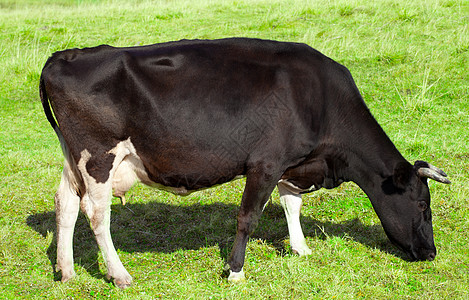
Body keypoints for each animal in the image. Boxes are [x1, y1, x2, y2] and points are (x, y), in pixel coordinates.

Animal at [40, 38, 450, 288]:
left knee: (66, 204)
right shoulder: (265, 163)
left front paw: (300, 248)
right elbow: (248, 217)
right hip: (98, 158)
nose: (431, 253)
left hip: (73, 159)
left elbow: (291, 204)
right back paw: (119, 274)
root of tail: (68, 55)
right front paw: (235, 271)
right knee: (97, 213)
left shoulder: (290, 163)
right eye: (422, 205)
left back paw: (67, 270)